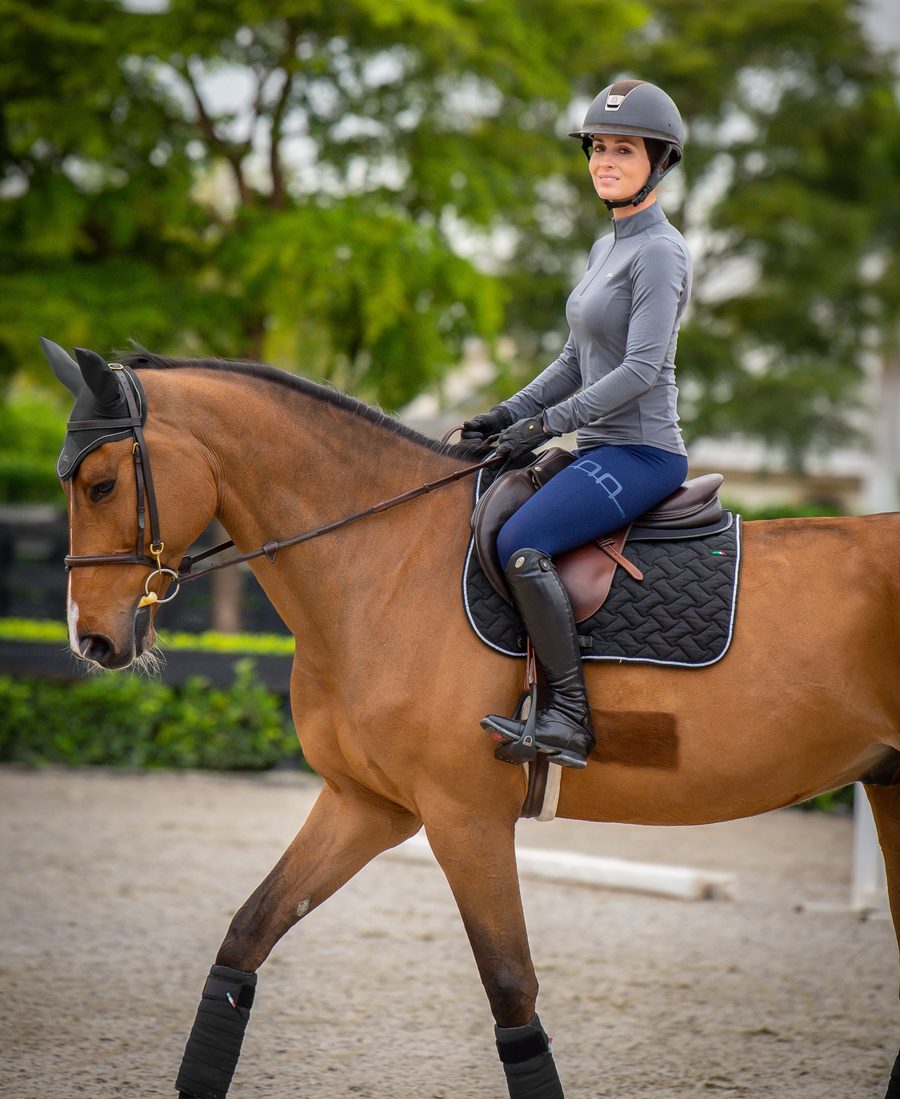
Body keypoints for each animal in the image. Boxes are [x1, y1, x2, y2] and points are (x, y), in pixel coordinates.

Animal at [43, 339, 900, 1099]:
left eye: (101, 485)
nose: (91, 639)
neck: (385, 558)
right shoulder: (367, 804)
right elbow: (247, 935)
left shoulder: (465, 818)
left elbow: (511, 990)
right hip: (891, 784)